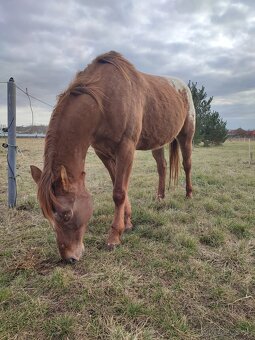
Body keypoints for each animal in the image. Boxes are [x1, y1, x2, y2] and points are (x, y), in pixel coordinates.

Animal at [30, 51, 196, 262]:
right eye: (47, 215)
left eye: (66, 214)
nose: (69, 258)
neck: (105, 99)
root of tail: (184, 87)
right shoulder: (104, 153)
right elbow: (119, 186)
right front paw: (128, 223)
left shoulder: (126, 148)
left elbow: (119, 192)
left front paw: (114, 237)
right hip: (157, 142)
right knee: (162, 166)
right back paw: (160, 198)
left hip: (186, 135)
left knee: (187, 164)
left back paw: (189, 194)